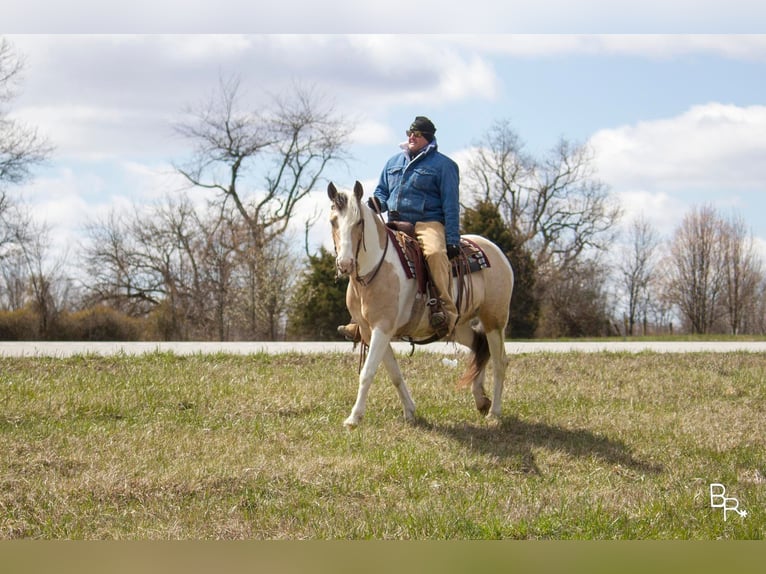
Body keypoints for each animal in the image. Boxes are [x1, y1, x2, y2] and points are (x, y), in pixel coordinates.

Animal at [330, 182, 516, 430]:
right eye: (333, 221)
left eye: (358, 222)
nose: (345, 264)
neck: (375, 270)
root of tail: (497, 252)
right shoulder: (371, 332)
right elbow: (394, 373)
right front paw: (409, 411)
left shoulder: (382, 328)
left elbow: (368, 371)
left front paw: (354, 417)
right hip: (459, 326)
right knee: (479, 345)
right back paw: (480, 399)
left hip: (494, 320)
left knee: (499, 361)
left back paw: (494, 413)